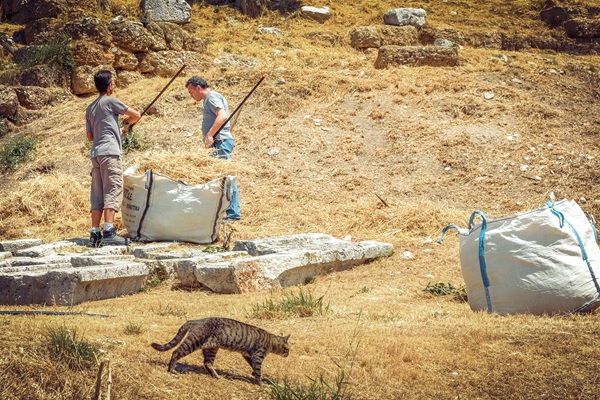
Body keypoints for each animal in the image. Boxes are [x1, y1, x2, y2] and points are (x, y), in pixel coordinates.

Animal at [151, 316, 290, 384]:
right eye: (287, 349)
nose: (288, 354)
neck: (271, 340)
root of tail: (196, 320)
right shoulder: (257, 356)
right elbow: (258, 370)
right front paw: (260, 383)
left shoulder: (248, 355)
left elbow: (253, 367)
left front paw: (253, 374)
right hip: (193, 343)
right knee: (176, 352)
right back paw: (171, 370)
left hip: (211, 349)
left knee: (207, 363)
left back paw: (216, 376)